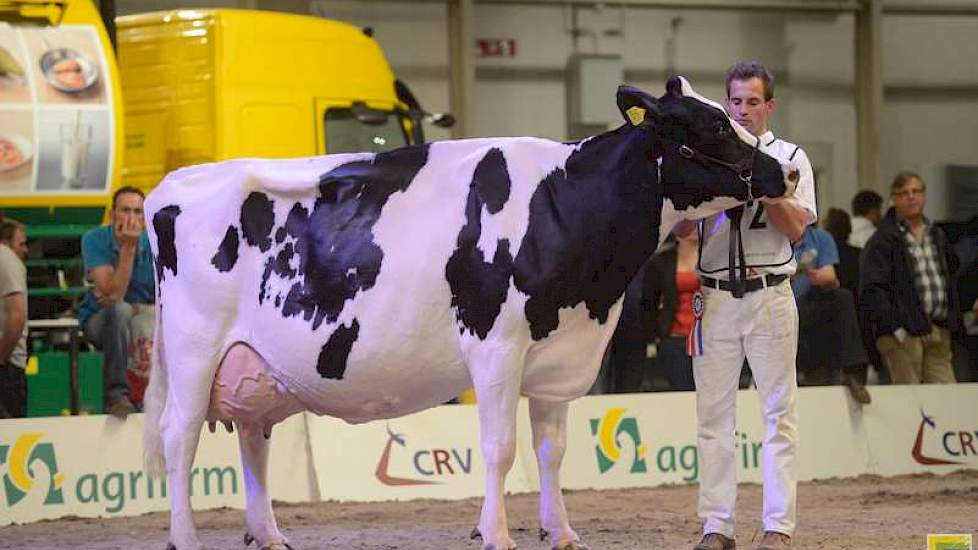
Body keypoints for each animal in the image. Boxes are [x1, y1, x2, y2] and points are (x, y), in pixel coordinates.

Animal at [145, 77, 796, 550]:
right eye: (715, 123)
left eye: (732, 111)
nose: (786, 171)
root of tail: (171, 185)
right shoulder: (496, 346)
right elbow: (499, 448)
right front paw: (497, 534)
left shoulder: (558, 355)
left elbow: (551, 451)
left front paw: (562, 533)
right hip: (194, 349)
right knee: (179, 438)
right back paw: (186, 539)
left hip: (254, 364)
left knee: (252, 437)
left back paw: (270, 536)